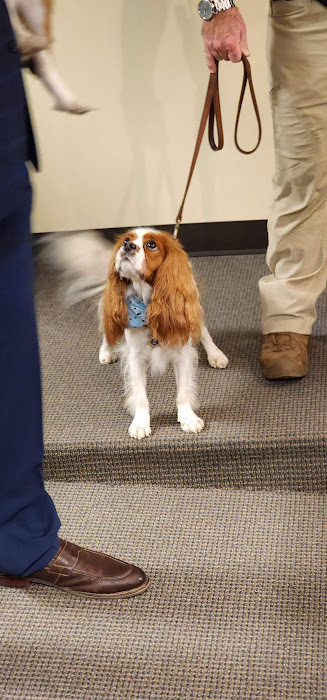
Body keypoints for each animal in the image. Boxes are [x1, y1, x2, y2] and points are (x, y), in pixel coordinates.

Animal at [99, 228, 228, 438]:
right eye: (126, 239)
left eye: (151, 245)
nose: (127, 246)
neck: (146, 306)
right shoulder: (135, 357)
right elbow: (141, 396)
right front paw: (140, 423)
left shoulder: (183, 351)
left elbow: (183, 392)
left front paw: (188, 418)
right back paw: (106, 351)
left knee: (202, 329)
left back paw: (215, 354)